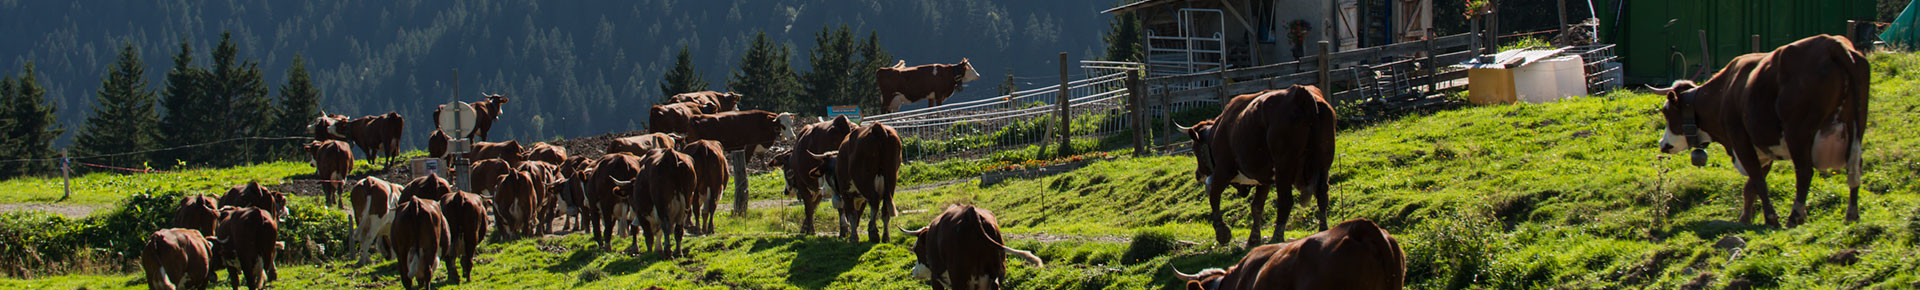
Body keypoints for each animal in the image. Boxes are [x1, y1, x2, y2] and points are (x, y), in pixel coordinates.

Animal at [902, 203, 1052, 290]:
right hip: (996, 273)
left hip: (959, 278)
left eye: (916, 250)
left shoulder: (936, 278)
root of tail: (970, 212)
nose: (913, 271)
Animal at [1167, 84, 1336, 245]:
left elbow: (1214, 196)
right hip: (1324, 161)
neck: (1217, 131)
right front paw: (1253, 239)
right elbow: (1256, 207)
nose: (1198, 174)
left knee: (1285, 201)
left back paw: (1277, 236)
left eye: (1195, 150)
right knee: (1322, 193)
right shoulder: (1265, 179)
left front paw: (1222, 232)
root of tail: (1300, 94)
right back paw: (1323, 229)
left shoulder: (1223, 170)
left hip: (1284, 165)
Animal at [1651, 34, 1873, 226]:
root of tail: (1831, 43)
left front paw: (1771, 218)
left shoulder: (1740, 139)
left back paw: (1795, 216)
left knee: (1804, 171)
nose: (1663, 144)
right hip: (1857, 126)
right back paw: (1852, 214)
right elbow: (1751, 186)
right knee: (1855, 167)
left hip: (1797, 132)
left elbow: (1757, 179)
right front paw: (1745, 219)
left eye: (1666, 112)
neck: (1725, 92)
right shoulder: (1764, 147)